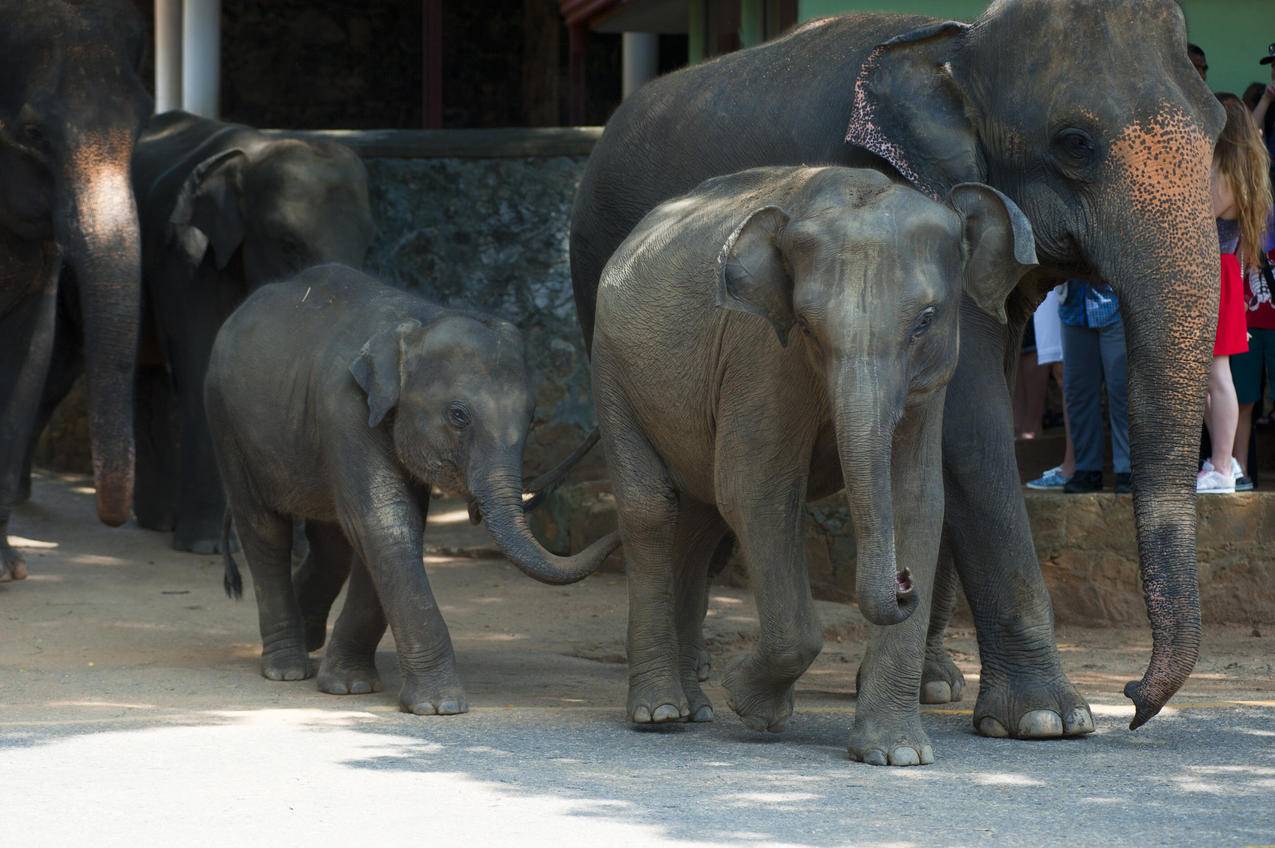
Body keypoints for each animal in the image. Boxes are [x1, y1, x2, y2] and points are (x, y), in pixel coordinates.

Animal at [26, 107, 372, 555]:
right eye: (289, 244)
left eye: (368, 245)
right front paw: (206, 546)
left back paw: (156, 522)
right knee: (59, 369)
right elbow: (205, 368)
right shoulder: (187, 256)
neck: (256, 152)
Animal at [206, 265, 619, 714]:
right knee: (264, 530)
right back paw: (287, 667)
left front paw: (351, 685)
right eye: (458, 415)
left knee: (331, 542)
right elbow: (384, 522)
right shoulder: (343, 408)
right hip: (227, 423)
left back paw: (310, 637)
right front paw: (440, 706)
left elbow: (391, 527)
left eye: (531, 418)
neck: (419, 320)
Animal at [591, 163, 1040, 760]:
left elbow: (918, 499)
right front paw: (752, 703)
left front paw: (895, 754)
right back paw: (661, 712)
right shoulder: (760, 353)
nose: (904, 583)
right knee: (653, 509)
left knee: (699, 520)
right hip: (611, 371)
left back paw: (694, 708)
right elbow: (755, 488)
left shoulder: (932, 382)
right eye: (806, 324)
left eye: (925, 320)